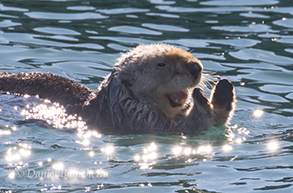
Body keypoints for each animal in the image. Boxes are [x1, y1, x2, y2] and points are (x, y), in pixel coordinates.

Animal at [0, 44, 234, 135]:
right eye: (161, 64)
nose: (196, 67)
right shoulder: (139, 120)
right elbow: (187, 128)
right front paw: (207, 100)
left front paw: (223, 92)